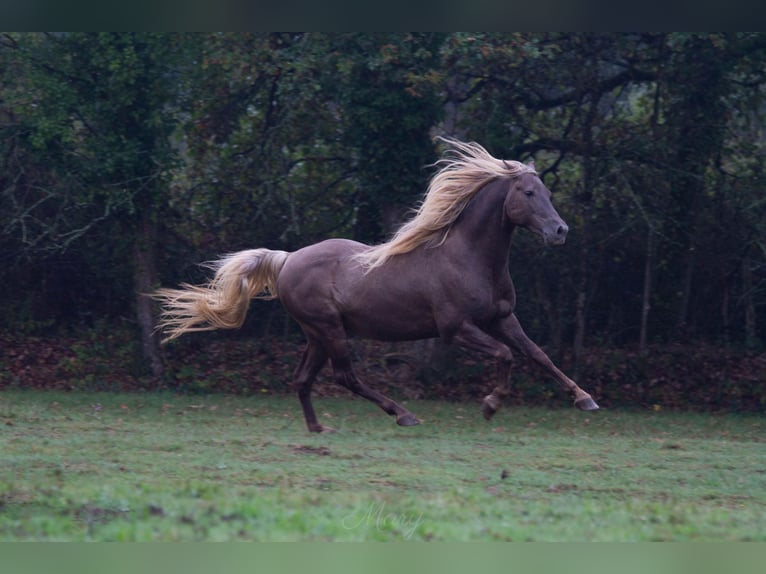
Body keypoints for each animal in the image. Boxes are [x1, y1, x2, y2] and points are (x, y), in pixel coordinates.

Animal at [154, 140, 600, 434]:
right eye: (527, 192)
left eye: (547, 192)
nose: (560, 231)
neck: (471, 258)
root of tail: (287, 259)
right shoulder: (456, 329)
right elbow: (507, 355)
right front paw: (490, 405)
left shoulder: (503, 319)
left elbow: (539, 355)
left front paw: (585, 399)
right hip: (330, 329)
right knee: (345, 376)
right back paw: (402, 414)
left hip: (316, 334)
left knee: (303, 379)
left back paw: (318, 429)